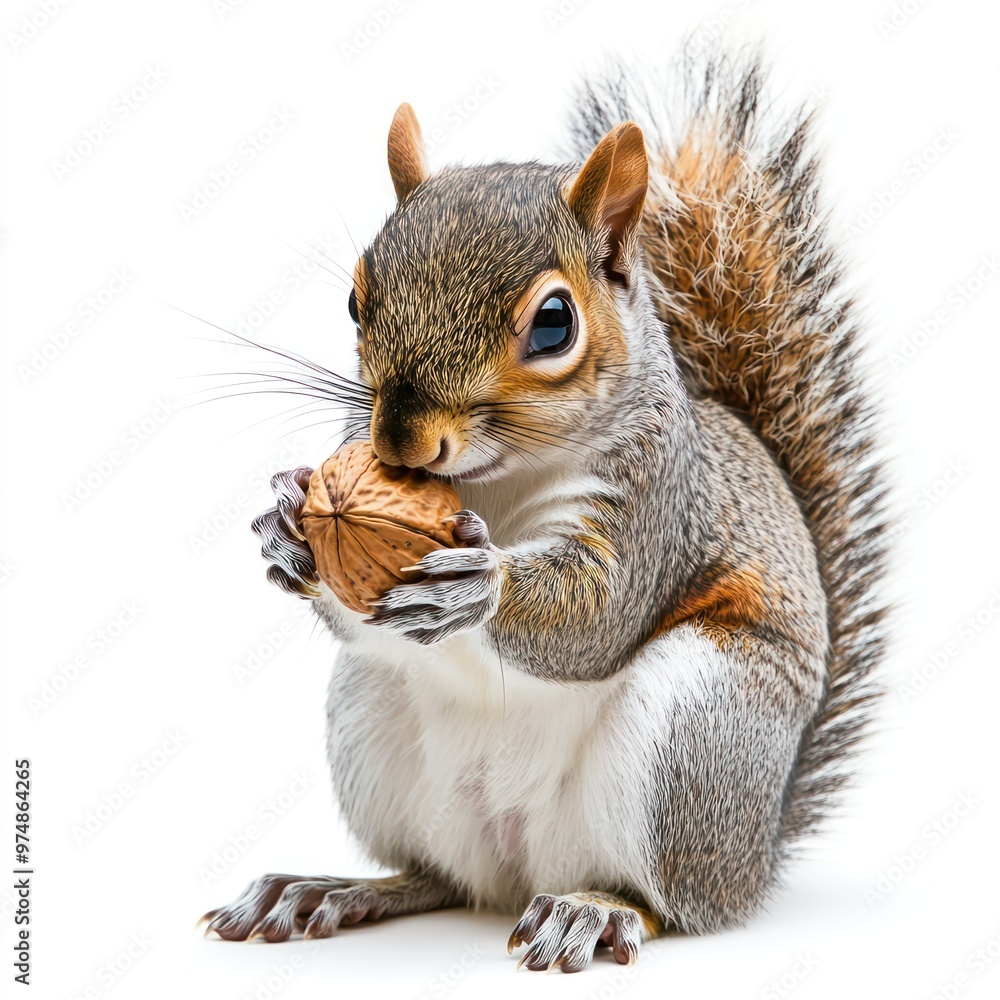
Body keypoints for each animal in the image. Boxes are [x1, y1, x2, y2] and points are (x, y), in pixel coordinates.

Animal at [201, 52, 887, 973]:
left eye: (554, 324)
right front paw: (287, 531)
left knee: (671, 902)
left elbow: (597, 615)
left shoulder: (654, 499)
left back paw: (594, 910)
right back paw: (332, 889)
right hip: (370, 719)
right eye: (354, 300)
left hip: (696, 736)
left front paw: (478, 585)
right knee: (437, 877)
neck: (493, 484)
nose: (401, 438)